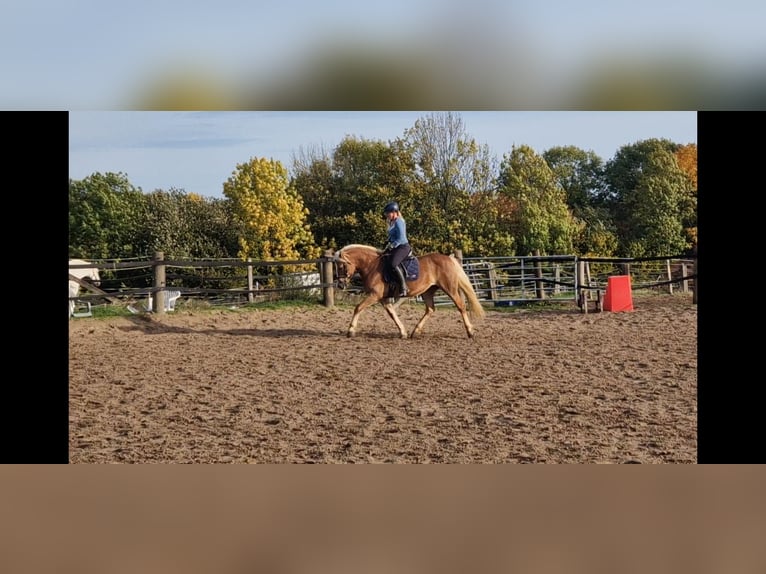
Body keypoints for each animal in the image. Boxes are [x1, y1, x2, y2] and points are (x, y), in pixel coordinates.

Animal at [334, 244, 486, 339]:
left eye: (341, 266)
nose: (340, 285)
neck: (372, 265)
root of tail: (449, 258)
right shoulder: (383, 298)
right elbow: (391, 313)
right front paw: (403, 332)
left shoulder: (374, 295)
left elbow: (358, 307)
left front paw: (350, 330)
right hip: (428, 291)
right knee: (430, 309)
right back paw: (415, 332)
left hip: (450, 288)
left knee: (461, 306)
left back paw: (470, 332)